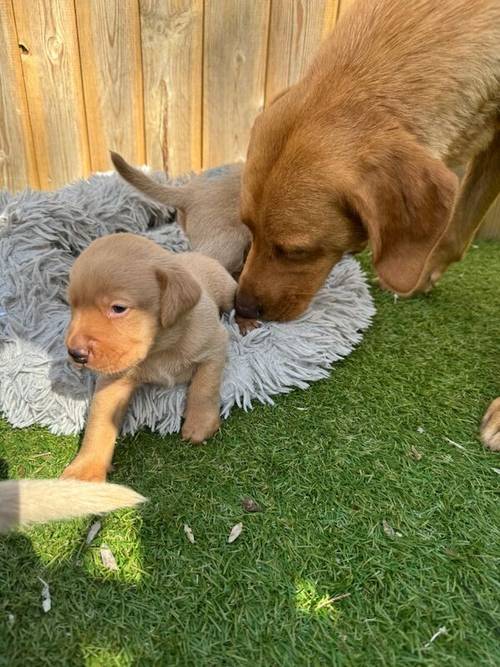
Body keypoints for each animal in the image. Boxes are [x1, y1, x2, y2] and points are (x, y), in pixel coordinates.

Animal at [62, 232, 236, 482]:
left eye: (118, 308)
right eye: (72, 306)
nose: (76, 354)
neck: (160, 349)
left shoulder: (215, 344)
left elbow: (205, 385)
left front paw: (200, 422)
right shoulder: (113, 380)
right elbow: (99, 421)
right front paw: (86, 469)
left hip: (228, 291)